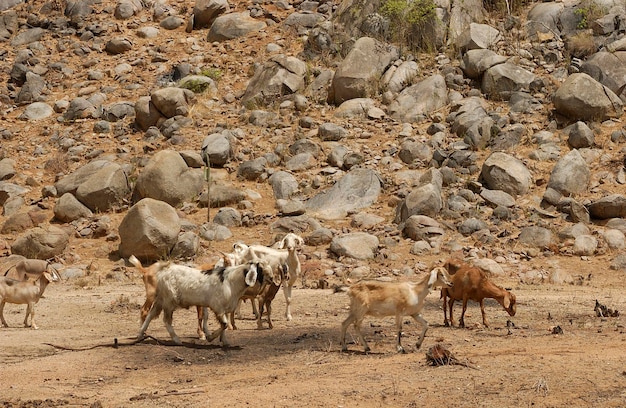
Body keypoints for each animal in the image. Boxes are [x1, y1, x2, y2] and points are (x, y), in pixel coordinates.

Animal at [138, 258, 276, 344]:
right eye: (260, 268)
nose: (272, 278)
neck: (231, 281)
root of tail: (163, 271)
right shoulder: (218, 307)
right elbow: (224, 324)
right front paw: (210, 337)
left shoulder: (225, 309)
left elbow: (225, 325)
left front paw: (225, 341)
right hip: (169, 302)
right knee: (166, 320)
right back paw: (177, 340)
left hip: (160, 300)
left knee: (150, 314)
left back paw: (140, 334)